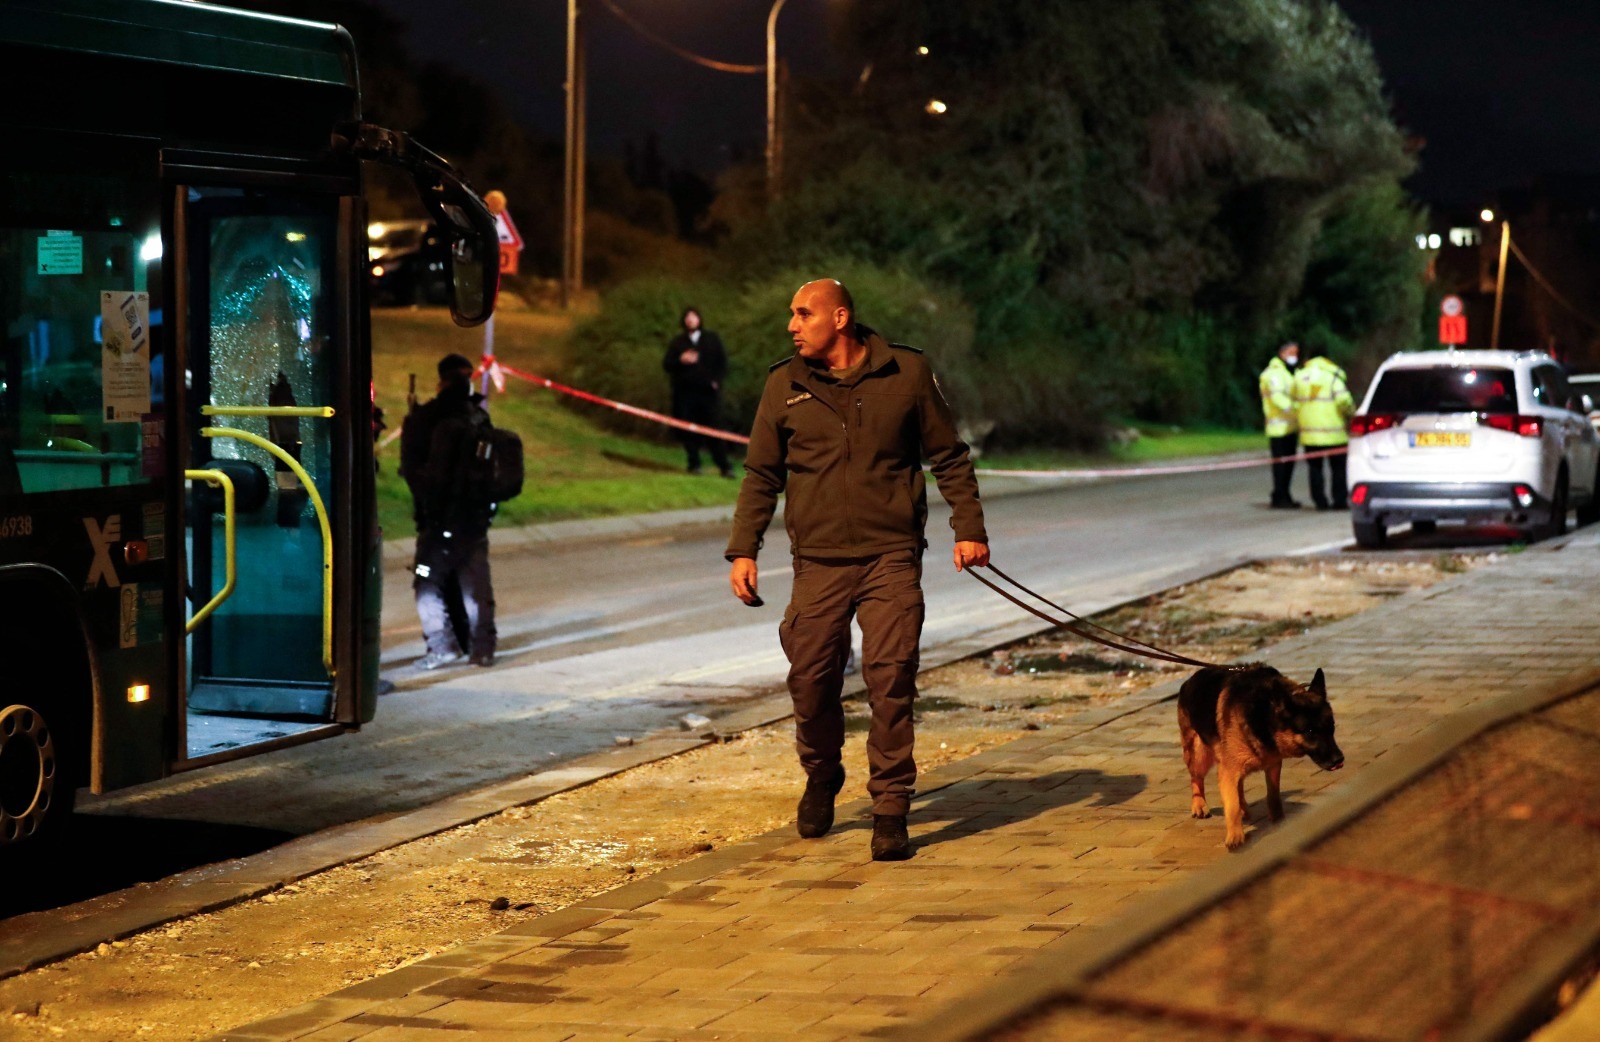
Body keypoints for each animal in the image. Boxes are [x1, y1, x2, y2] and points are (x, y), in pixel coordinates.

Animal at [1184, 665, 1344, 851]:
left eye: (1331, 727)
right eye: (1310, 731)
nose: (1339, 760)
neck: (1264, 715)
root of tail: (1193, 676)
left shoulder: (1273, 766)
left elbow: (1273, 796)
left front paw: (1279, 823)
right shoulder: (1229, 771)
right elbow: (1232, 807)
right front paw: (1235, 836)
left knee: (1238, 786)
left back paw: (1243, 807)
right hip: (1199, 755)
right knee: (1196, 779)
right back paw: (1199, 805)